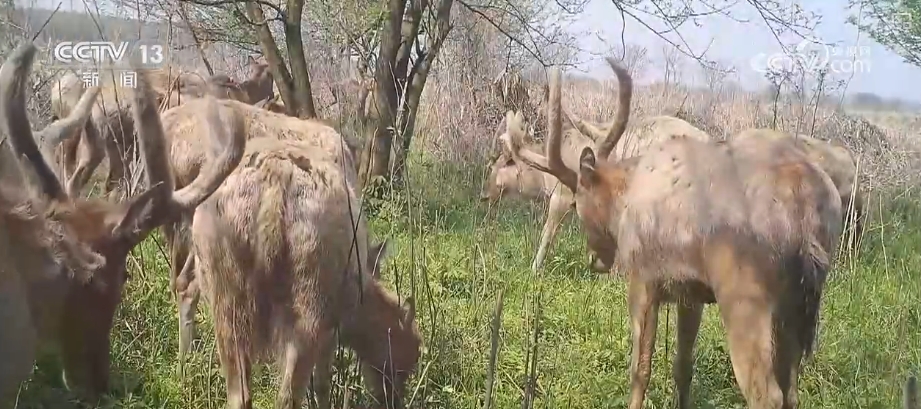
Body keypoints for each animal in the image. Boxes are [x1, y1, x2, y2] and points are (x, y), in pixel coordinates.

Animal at [188, 132, 424, 406]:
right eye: (408, 353)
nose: (393, 401)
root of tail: (276, 178)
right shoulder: (332, 327)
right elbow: (322, 384)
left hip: (226, 297)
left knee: (240, 394)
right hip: (310, 303)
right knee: (288, 396)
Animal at [504, 58, 840, 408]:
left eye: (579, 204)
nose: (595, 259)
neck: (625, 196)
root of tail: (805, 204)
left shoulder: (644, 278)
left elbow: (640, 370)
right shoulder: (691, 292)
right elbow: (682, 365)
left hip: (746, 295)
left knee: (767, 394)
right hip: (796, 305)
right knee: (791, 391)